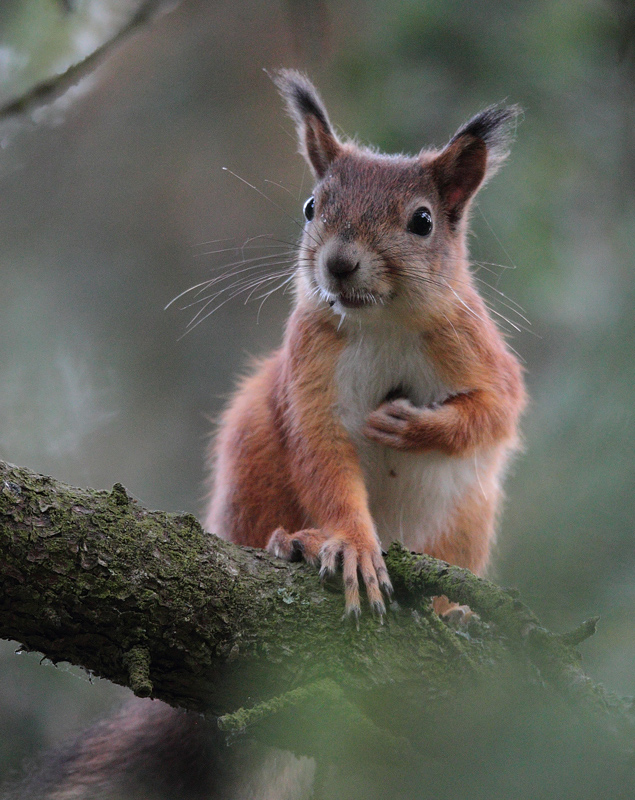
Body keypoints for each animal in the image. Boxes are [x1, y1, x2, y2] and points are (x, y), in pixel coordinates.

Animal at [205, 70, 526, 617]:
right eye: (311, 207)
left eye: (423, 221)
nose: (338, 263)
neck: (383, 322)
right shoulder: (310, 372)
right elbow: (323, 459)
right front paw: (354, 546)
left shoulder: (476, 348)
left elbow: (496, 411)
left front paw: (413, 425)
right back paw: (294, 542)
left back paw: (452, 611)